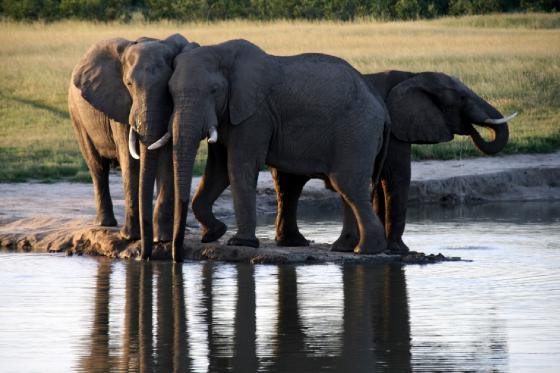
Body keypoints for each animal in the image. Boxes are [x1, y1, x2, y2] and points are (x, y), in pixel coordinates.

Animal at [68, 33, 197, 258]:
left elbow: (166, 158)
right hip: (77, 115)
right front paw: (130, 237)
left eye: (168, 87)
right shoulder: (121, 106)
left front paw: (162, 239)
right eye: (128, 84)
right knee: (97, 166)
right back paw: (105, 223)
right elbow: (130, 161)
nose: (145, 255)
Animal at [151, 37, 392, 258]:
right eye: (170, 92)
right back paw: (344, 248)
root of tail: (382, 107)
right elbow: (217, 171)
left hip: (357, 132)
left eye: (214, 90)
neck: (221, 50)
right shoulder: (229, 114)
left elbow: (238, 166)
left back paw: (366, 250)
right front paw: (213, 234)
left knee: (347, 184)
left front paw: (240, 243)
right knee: (344, 188)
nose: (176, 255)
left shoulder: (255, 115)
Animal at [272, 70, 516, 253]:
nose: (472, 129)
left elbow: (382, 182)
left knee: (288, 187)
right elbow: (397, 176)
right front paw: (398, 250)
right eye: (461, 99)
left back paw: (296, 243)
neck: (414, 76)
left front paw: (388, 247)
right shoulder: (395, 126)